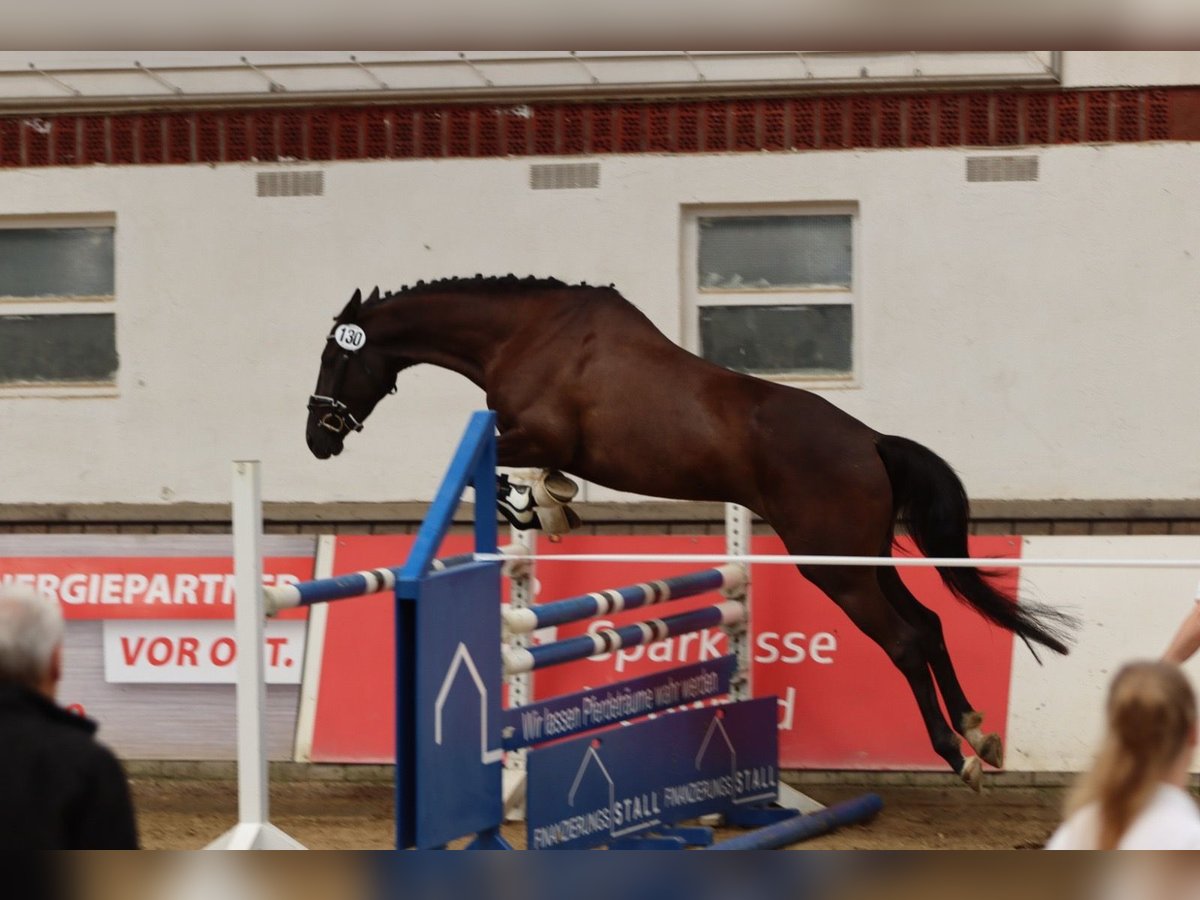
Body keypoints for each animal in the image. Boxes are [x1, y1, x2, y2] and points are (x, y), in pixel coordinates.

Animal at [304, 273, 1075, 787]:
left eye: (336, 357)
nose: (318, 439)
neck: (523, 334)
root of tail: (872, 442)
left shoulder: (536, 431)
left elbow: (491, 464)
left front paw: (533, 505)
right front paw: (549, 503)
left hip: (834, 567)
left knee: (908, 640)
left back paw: (956, 752)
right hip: (861, 560)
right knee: (931, 625)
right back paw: (978, 731)